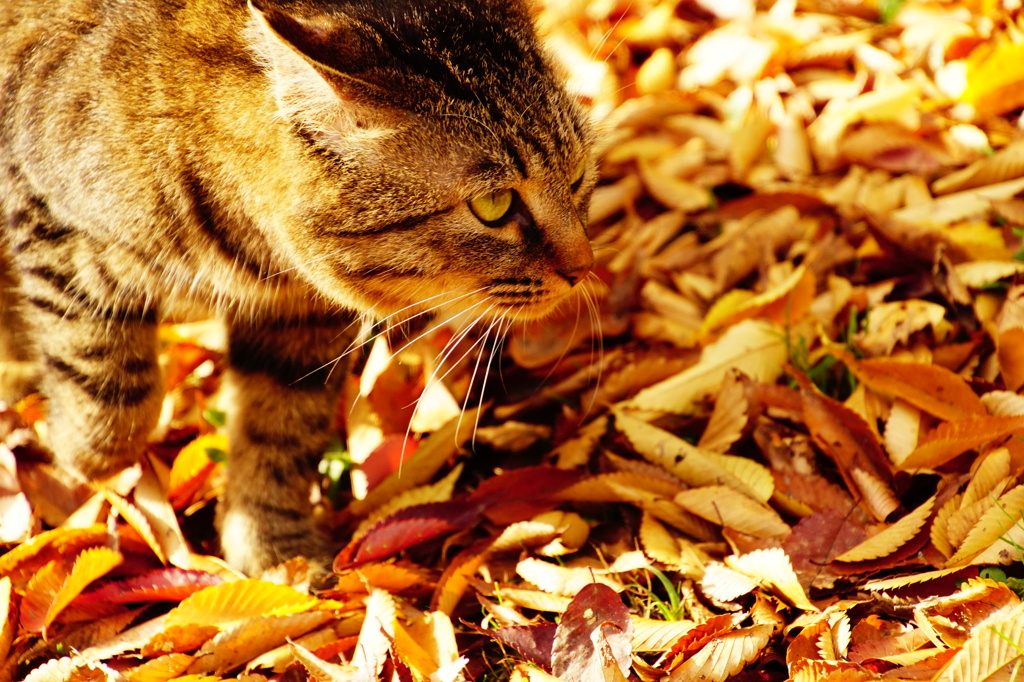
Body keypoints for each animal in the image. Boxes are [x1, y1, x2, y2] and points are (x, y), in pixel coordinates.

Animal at [0, 0, 593, 573]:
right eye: (493, 205)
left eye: (578, 176)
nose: (583, 267)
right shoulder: (46, 218)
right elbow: (109, 390)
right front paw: (77, 451)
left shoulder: (300, 317)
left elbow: (280, 429)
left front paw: (273, 548)